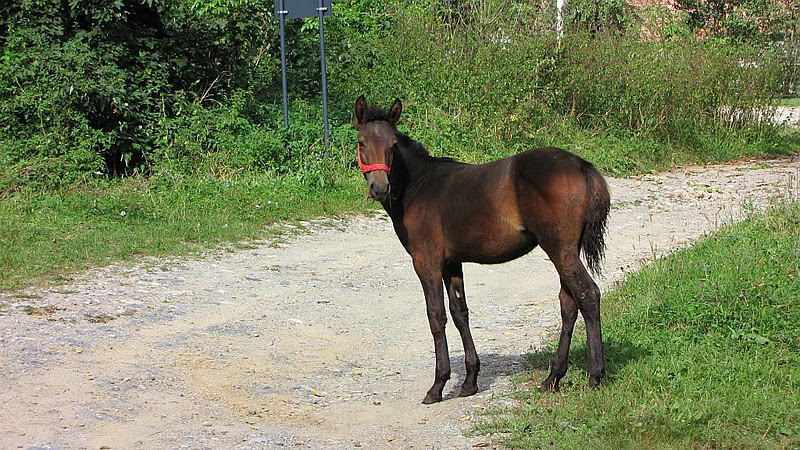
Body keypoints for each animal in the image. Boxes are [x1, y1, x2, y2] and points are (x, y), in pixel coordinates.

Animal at [354, 96, 611, 404]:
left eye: (393, 144)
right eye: (361, 142)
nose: (379, 187)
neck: (418, 186)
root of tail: (582, 164)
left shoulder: (426, 262)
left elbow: (436, 315)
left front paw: (438, 386)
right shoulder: (451, 263)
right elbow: (459, 312)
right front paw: (469, 382)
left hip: (560, 250)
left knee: (588, 294)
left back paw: (595, 376)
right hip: (565, 251)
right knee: (569, 304)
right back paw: (552, 378)